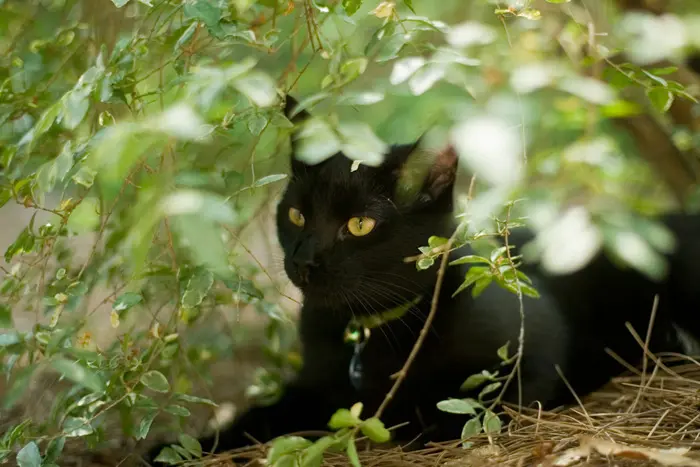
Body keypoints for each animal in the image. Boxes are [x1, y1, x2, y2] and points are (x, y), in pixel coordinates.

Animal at [146, 97, 696, 462]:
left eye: (359, 225)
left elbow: (444, 411)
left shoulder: (532, 361)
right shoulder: (312, 384)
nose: (304, 259)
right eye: (298, 215)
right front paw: (179, 446)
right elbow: (258, 416)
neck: (369, 332)